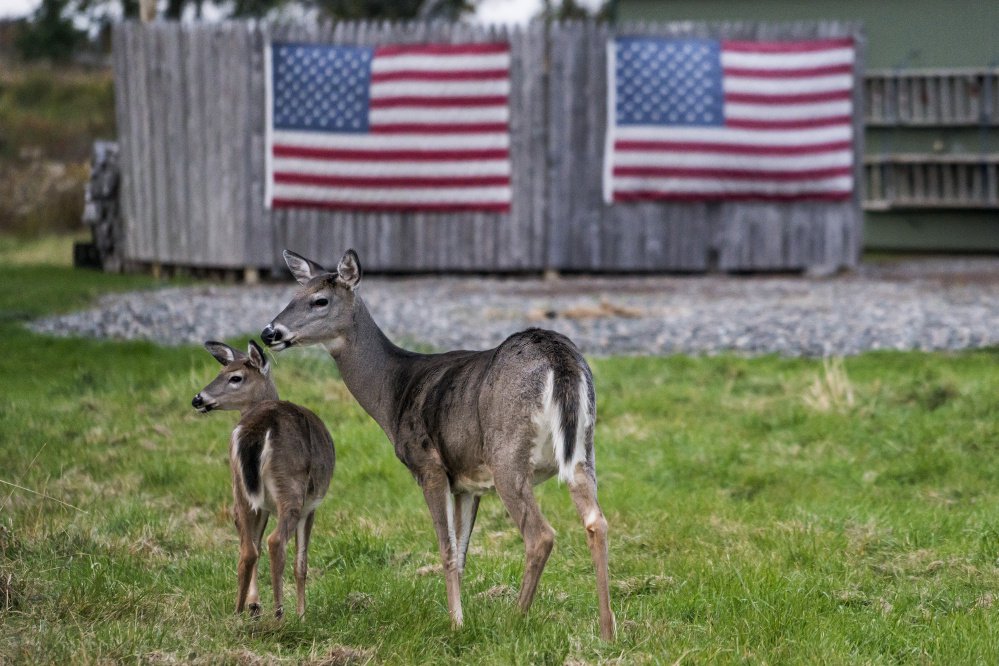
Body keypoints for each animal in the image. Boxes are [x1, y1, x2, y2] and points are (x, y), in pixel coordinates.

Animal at [191, 340, 336, 620]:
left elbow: (253, 543)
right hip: (290, 485)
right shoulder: (311, 505)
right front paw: (301, 614)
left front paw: (254, 604)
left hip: (239, 485)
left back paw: (238, 611)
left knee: (248, 549)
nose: (198, 399)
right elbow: (301, 562)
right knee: (275, 542)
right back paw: (280, 614)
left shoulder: (261, 504)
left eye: (235, 377)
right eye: (221, 372)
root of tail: (259, 427)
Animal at [262, 249, 612, 640]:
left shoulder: (428, 465)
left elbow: (446, 547)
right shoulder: (468, 483)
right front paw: (462, 618)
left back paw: (514, 620)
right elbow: (460, 553)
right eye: (293, 295)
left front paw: (455, 624)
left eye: (319, 300)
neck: (393, 392)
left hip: (507, 454)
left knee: (541, 535)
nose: (269, 332)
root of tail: (557, 357)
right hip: (583, 450)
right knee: (597, 521)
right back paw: (607, 630)